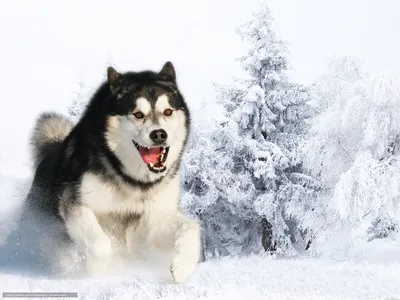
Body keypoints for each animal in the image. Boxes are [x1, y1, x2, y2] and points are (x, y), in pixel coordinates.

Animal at [23, 62, 202, 282]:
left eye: (168, 111)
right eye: (138, 114)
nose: (159, 134)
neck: (131, 180)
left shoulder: (151, 219)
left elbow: (192, 229)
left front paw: (182, 266)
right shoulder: (75, 202)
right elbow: (101, 245)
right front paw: (94, 269)